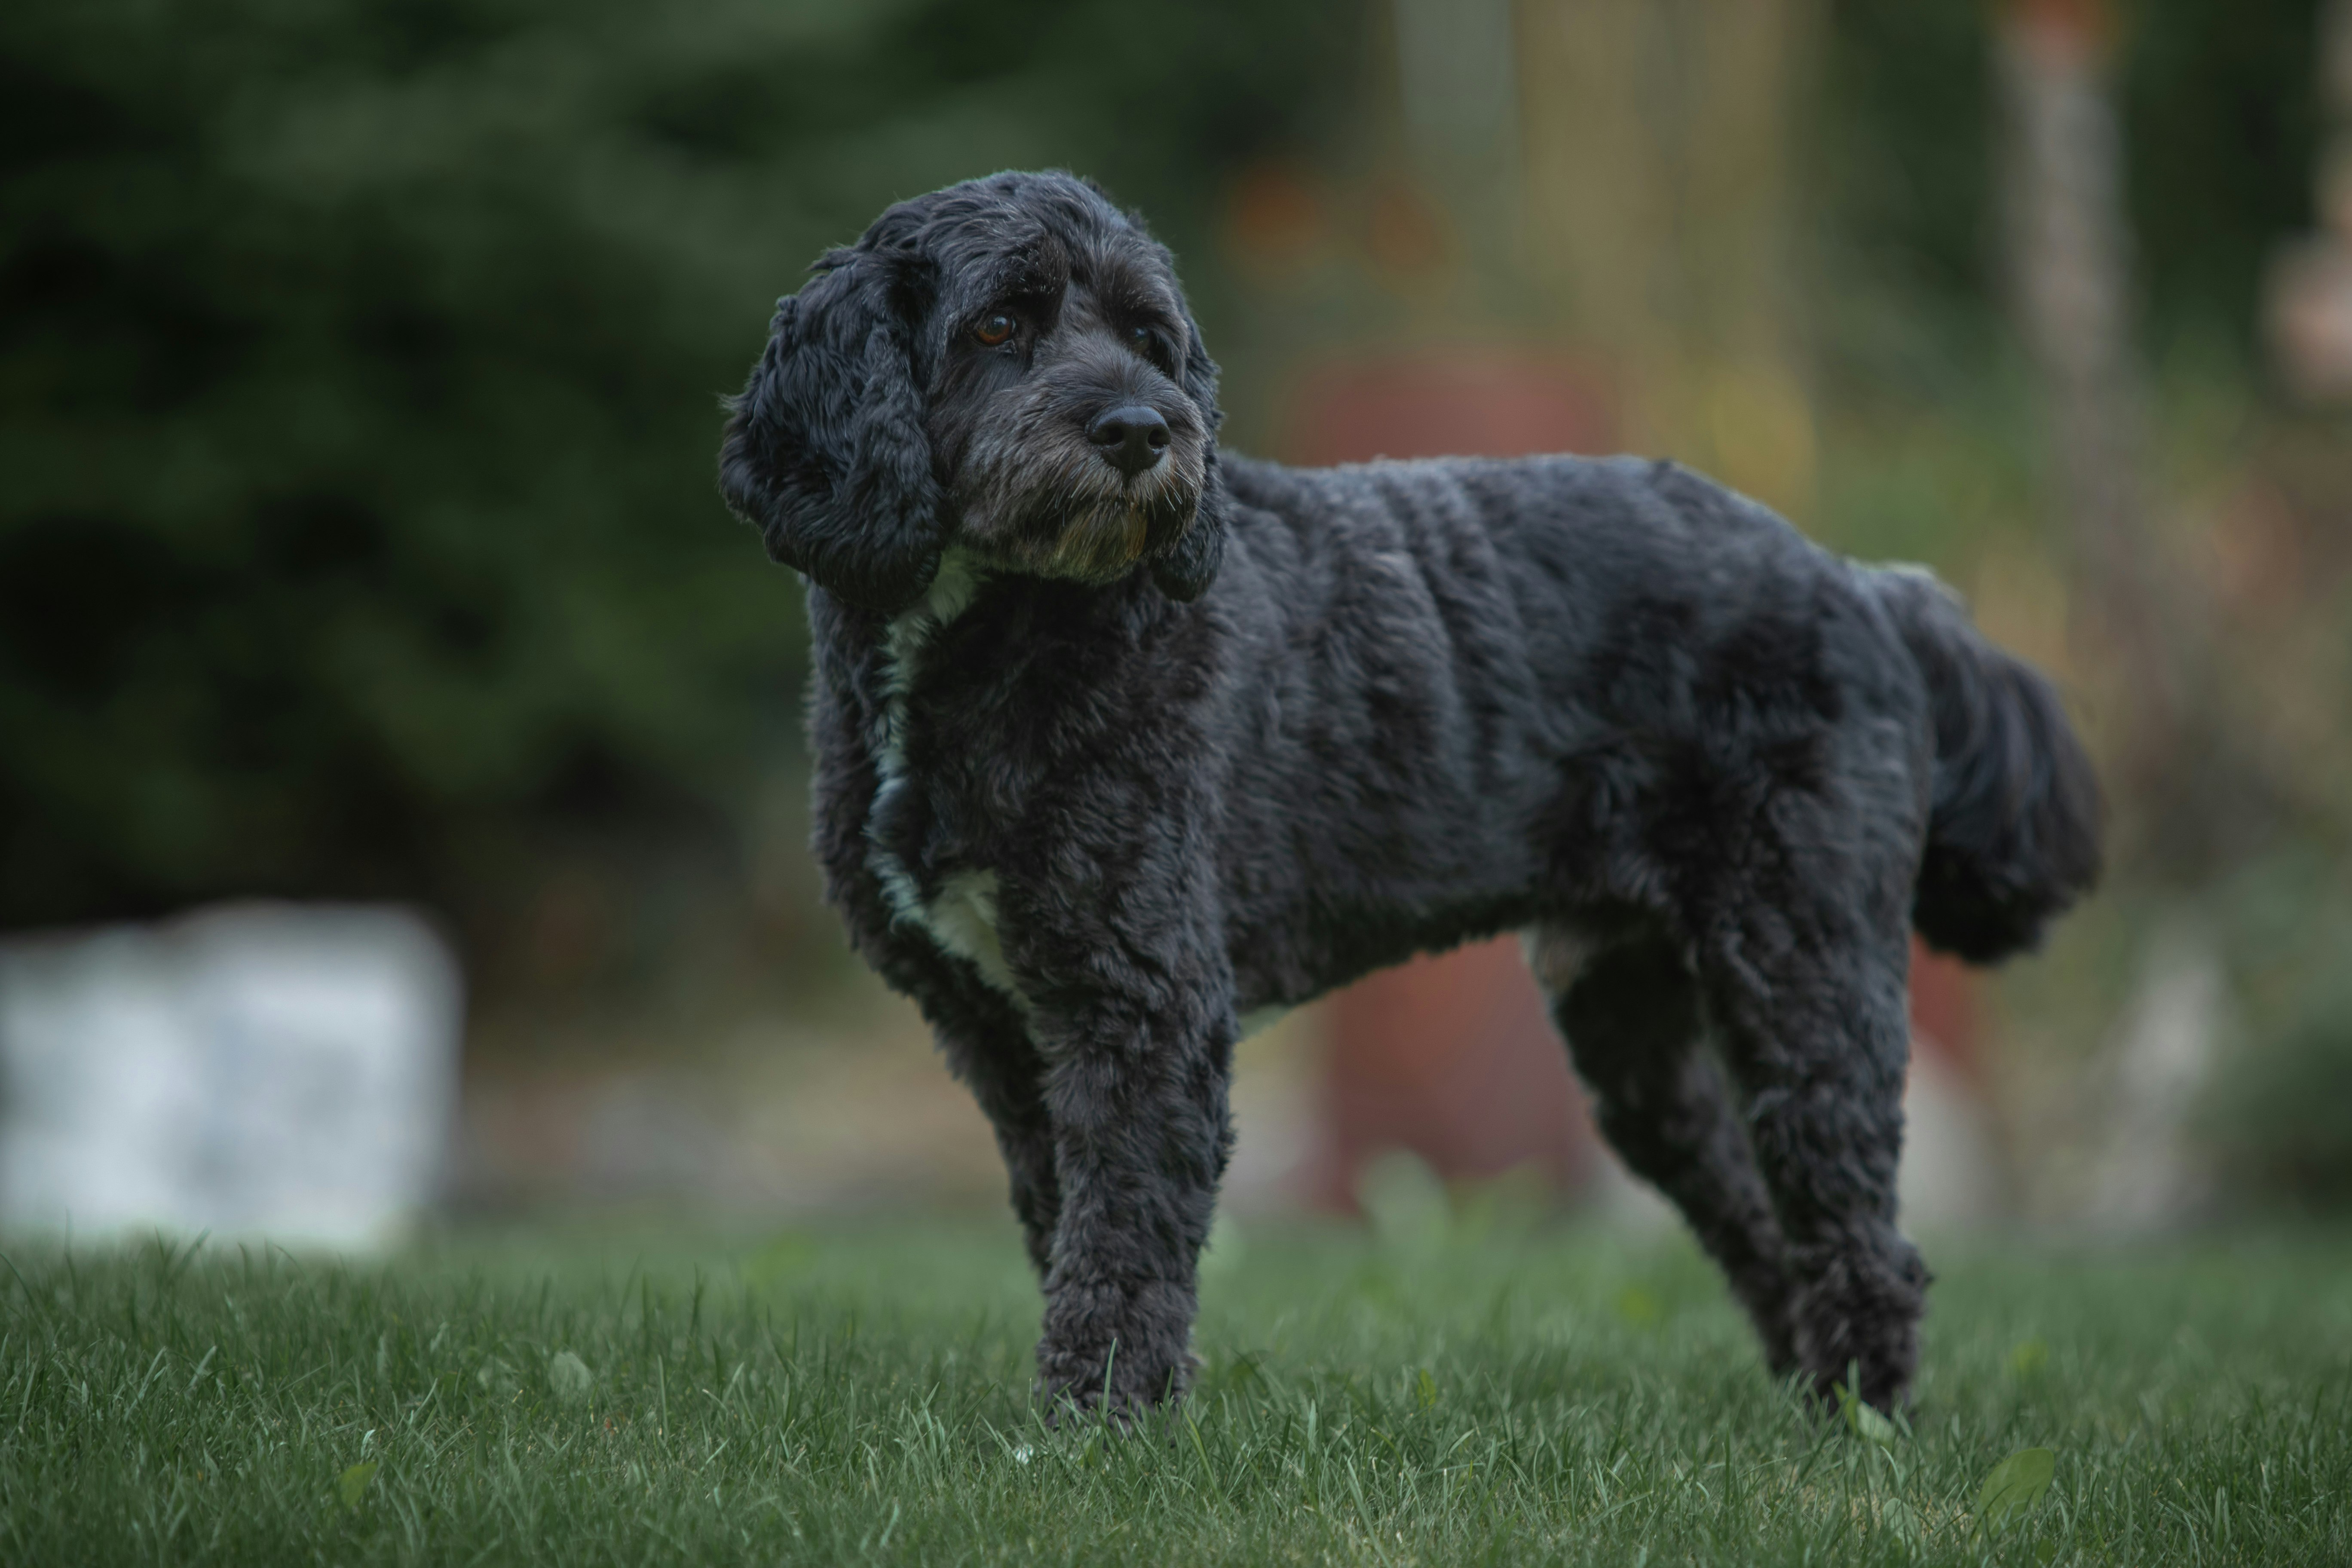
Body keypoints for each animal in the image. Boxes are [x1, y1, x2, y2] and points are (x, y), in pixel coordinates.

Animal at [715, 169, 2098, 1410]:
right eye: (1001, 324)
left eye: (1151, 338)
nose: (1142, 430)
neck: (993, 631)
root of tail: (1863, 584)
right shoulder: (1003, 1037)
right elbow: (1073, 1223)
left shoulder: (1142, 1003)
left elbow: (1124, 1238)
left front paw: (1098, 1423)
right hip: (1635, 1027)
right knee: (1760, 1210)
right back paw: (1813, 1401)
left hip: (1802, 962)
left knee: (1858, 1219)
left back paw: (1866, 1414)